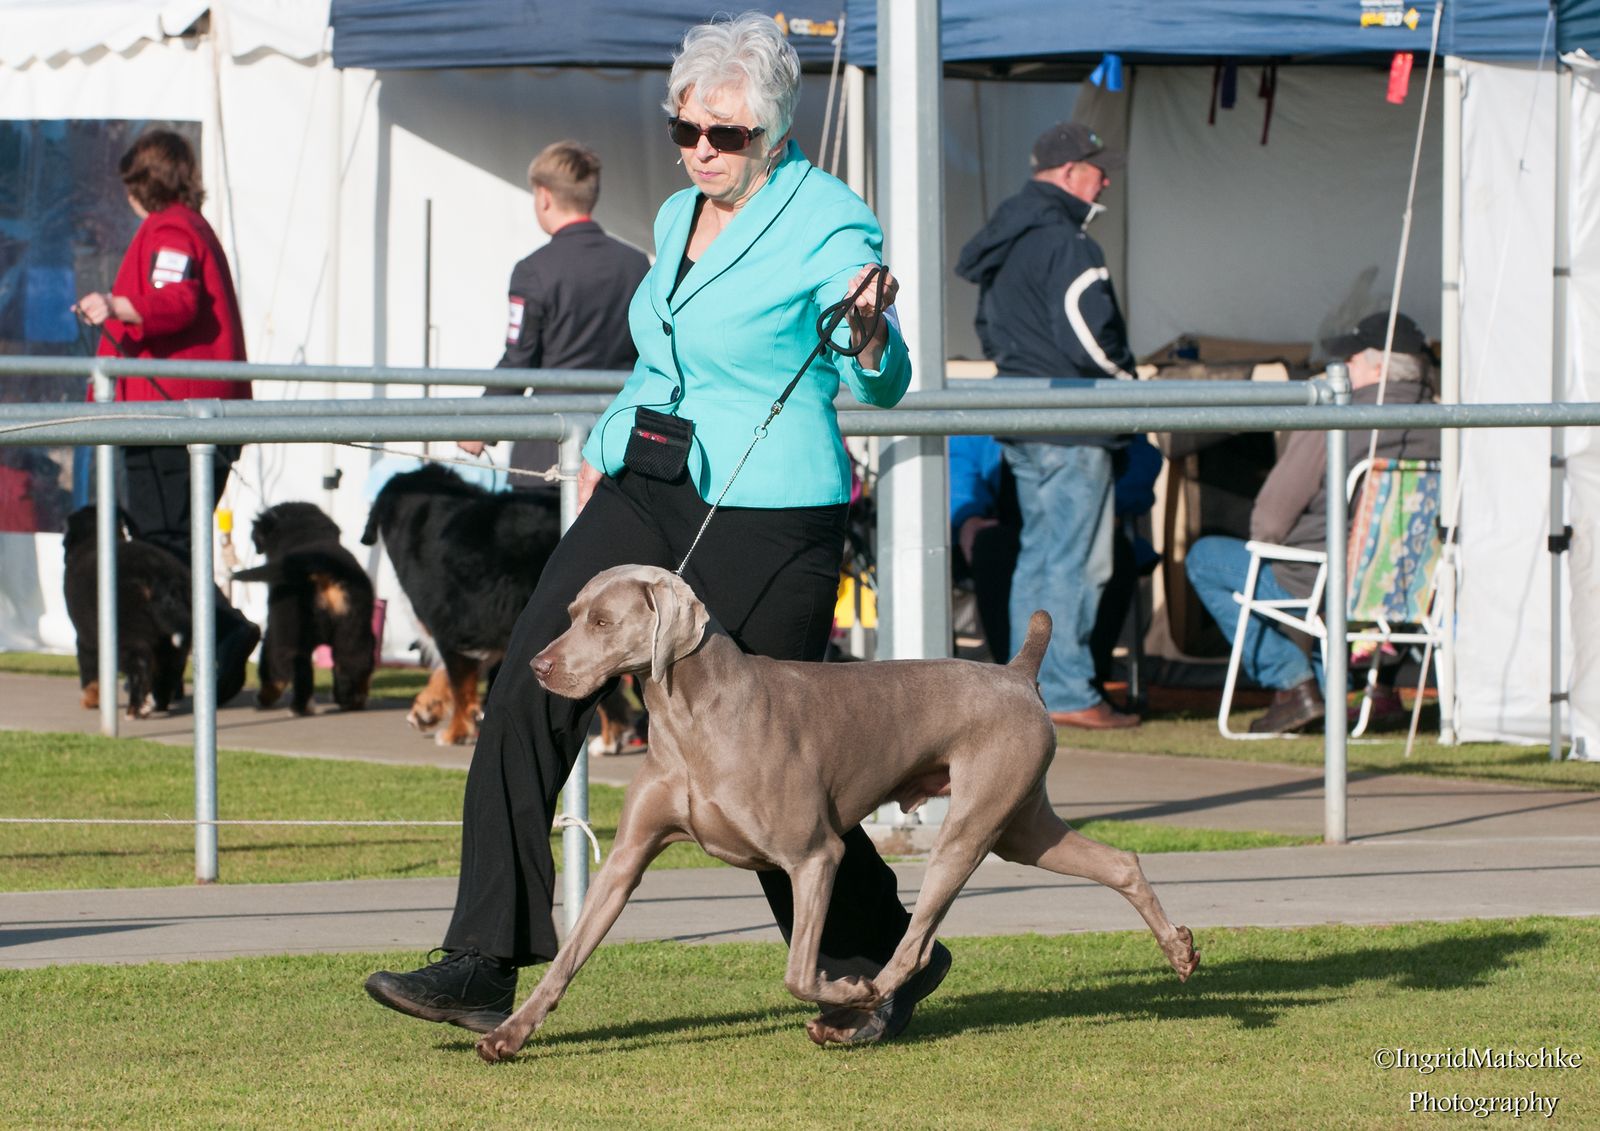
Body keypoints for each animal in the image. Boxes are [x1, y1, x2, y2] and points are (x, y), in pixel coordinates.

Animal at [62, 506, 192, 719]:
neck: (92, 539)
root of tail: (160, 576)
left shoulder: (85, 637)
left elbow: (89, 672)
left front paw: (89, 700)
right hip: (173, 642)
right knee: (168, 673)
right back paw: (159, 704)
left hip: (126, 634)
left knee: (141, 665)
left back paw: (135, 709)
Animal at [233, 502, 375, 715]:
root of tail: (323, 564)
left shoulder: (273, 626)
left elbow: (270, 669)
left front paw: (264, 698)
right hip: (354, 628)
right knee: (354, 662)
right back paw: (351, 701)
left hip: (289, 628)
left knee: (295, 665)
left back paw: (299, 707)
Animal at [474, 564, 1199, 1062]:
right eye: (571, 612)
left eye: (602, 622)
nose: (537, 665)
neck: (693, 717)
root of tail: (1016, 673)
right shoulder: (627, 857)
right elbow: (568, 956)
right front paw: (509, 1033)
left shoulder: (815, 855)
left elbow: (799, 971)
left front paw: (843, 988)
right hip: (1021, 824)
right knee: (1120, 860)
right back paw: (1179, 949)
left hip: (970, 827)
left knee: (914, 944)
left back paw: (856, 1009)